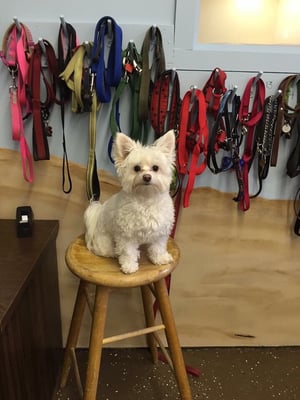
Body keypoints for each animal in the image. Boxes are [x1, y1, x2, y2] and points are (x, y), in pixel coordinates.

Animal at [83, 130, 176, 274]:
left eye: (155, 168)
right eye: (136, 168)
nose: (147, 177)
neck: (146, 199)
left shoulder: (160, 233)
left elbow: (158, 247)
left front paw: (160, 258)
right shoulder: (126, 236)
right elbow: (128, 252)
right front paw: (129, 266)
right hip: (106, 244)